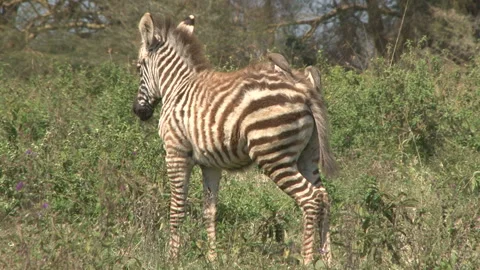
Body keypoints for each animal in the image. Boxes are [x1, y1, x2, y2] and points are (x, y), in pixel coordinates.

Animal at [132, 13, 338, 266]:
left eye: (138, 67)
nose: (138, 111)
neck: (176, 87)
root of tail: (304, 88)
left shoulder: (175, 153)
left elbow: (177, 207)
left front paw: (172, 258)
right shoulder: (210, 164)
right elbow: (209, 210)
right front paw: (212, 258)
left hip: (273, 156)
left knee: (310, 199)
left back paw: (307, 260)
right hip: (308, 155)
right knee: (324, 197)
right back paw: (327, 259)